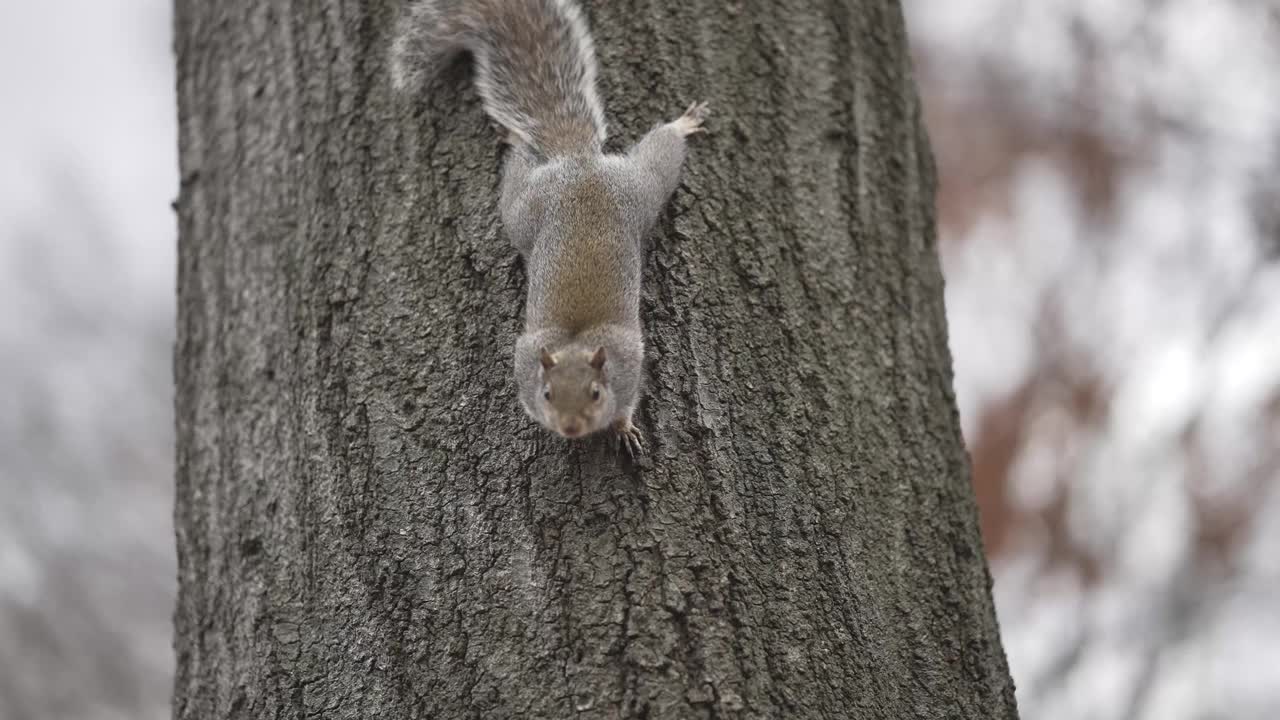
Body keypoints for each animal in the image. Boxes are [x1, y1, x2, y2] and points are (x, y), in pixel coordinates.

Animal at [389, 0, 711, 453]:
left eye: (595, 393)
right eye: (547, 393)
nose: (570, 427)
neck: (576, 343)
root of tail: (577, 163)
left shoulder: (629, 365)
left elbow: (628, 402)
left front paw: (624, 428)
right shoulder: (525, 362)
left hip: (635, 190)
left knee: (660, 155)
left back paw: (681, 124)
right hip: (532, 211)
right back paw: (515, 137)